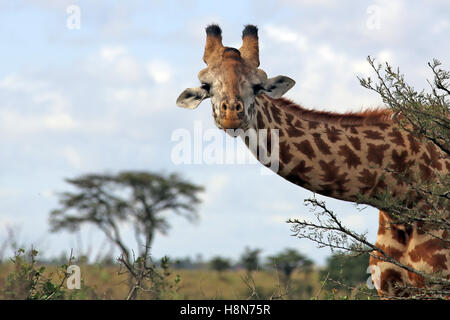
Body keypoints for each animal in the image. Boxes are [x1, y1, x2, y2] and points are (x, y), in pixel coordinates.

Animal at [177, 23, 450, 296]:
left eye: (257, 85)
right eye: (206, 85)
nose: (232, 115)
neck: (400, 196)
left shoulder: (437, 279)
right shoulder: (389, 286)